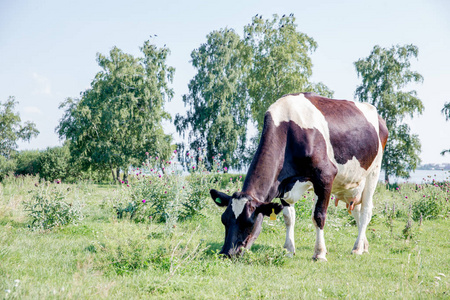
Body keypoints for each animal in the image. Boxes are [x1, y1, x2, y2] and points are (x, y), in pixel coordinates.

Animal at [209, 92, 388, 262]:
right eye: (224, 219)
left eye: (249, 222)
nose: (226, 253)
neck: (288, 128)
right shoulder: (283, 185)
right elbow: (288, 217)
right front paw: (288, 250)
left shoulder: (325, 175)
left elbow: (319, 216)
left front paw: (319, 254)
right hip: (353, 184)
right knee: (357, 211)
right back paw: (364, 245)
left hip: (373, 172)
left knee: (365, 211)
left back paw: (357, 248)